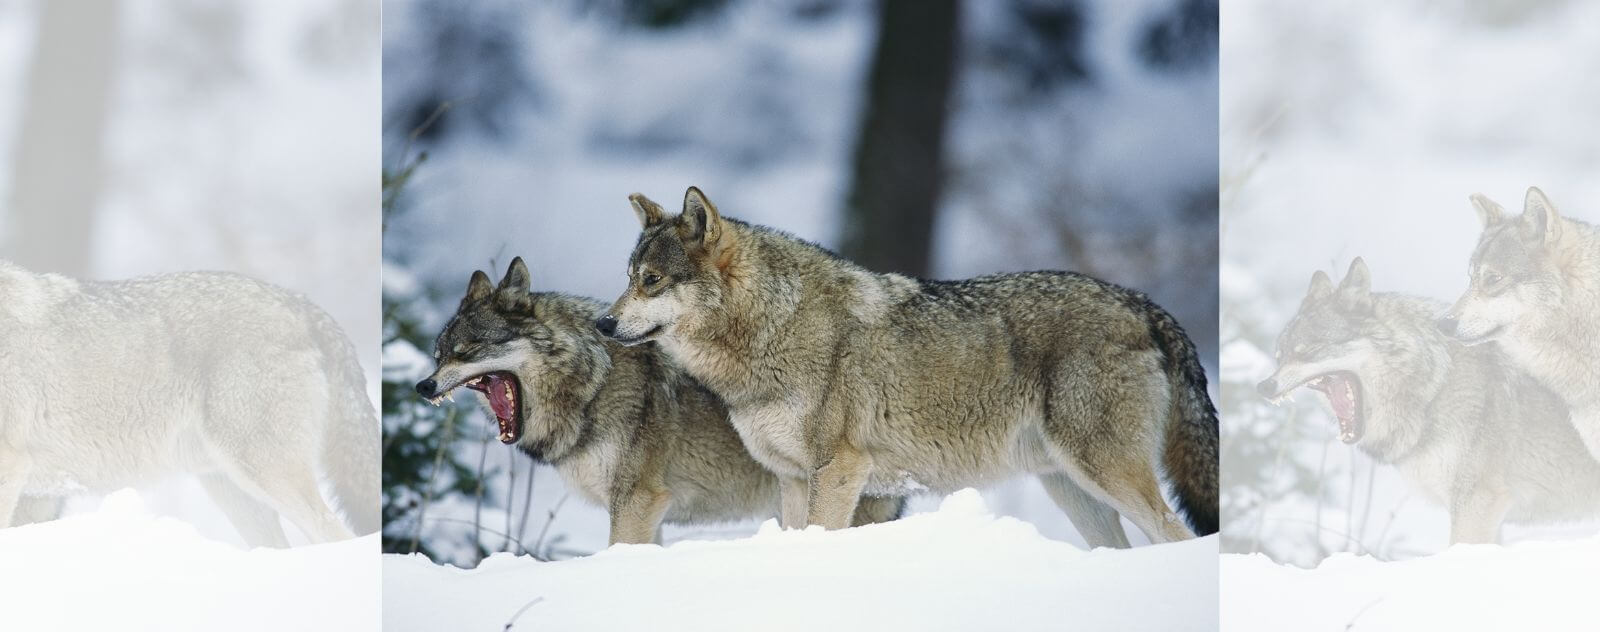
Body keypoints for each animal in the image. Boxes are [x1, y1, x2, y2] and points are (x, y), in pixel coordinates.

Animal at [412, 259, 902, 547]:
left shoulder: (636, 500)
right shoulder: (649, 511)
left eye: (468, 350)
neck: (593, 384)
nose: (423, 385)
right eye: (438, 354)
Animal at [595, 185, 1216, 547]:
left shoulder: (839, 471)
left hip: (1105, 474)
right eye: (628, 279)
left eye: (652, 281)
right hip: (1075, 490)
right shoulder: (792, 480)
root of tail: (1141, 302)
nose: (603, 324)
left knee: (1176, 534)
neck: (773, 329)